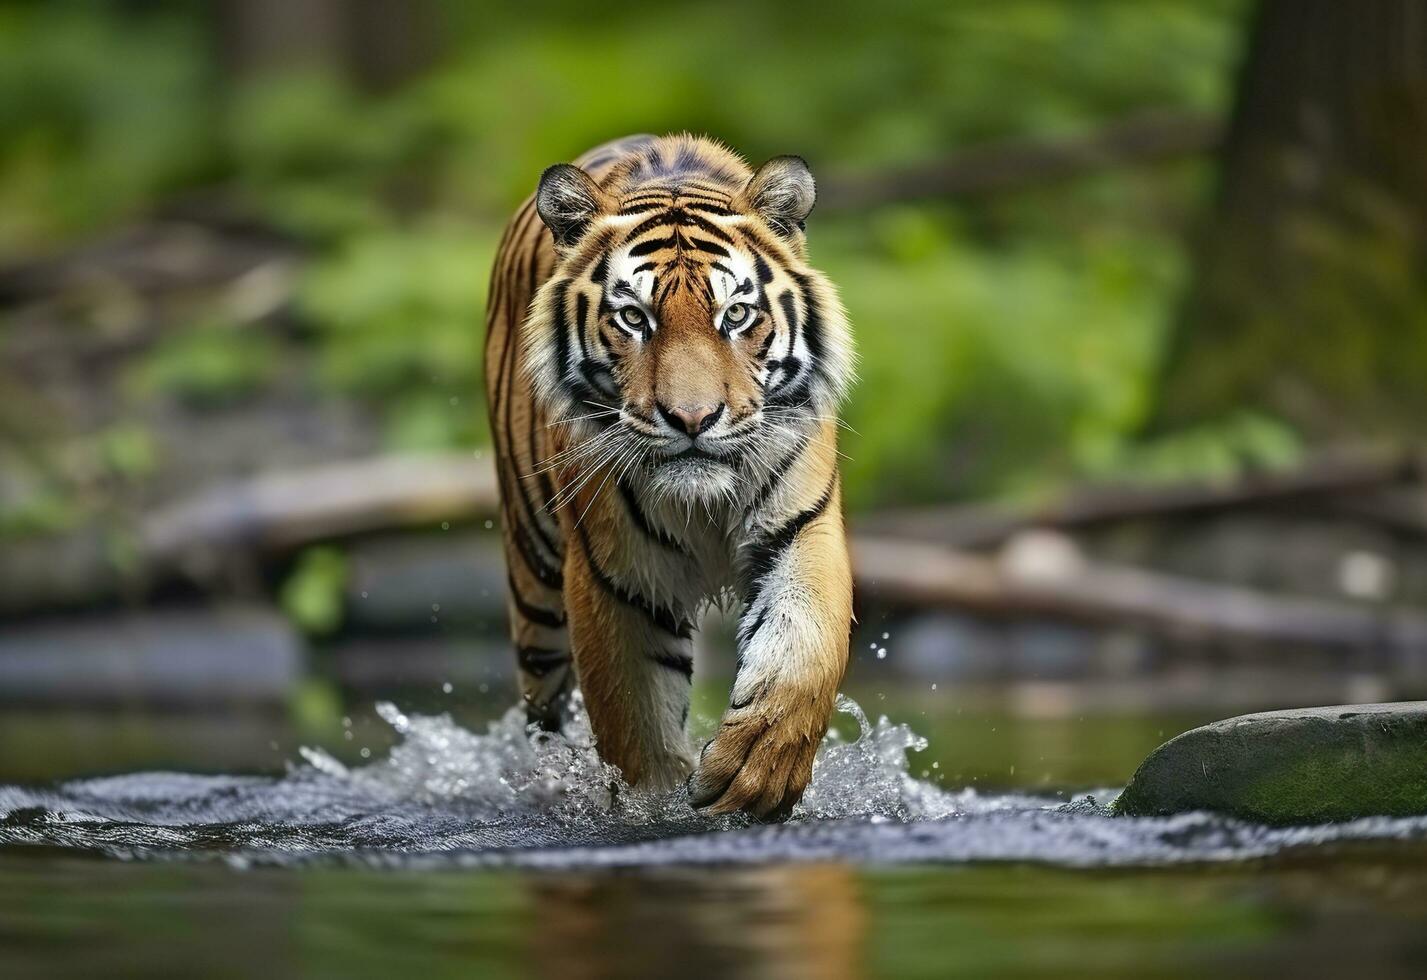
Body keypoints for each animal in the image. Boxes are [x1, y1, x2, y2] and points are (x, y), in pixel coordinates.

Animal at [485, 130, 850, 821]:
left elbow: (804, 651)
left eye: (736, 315)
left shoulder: (800, 526)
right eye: (634, 319)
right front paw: (655, 806)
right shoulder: (617, 577)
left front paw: (757, 770)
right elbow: (637, 721)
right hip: (534, 580)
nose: (693, 418)